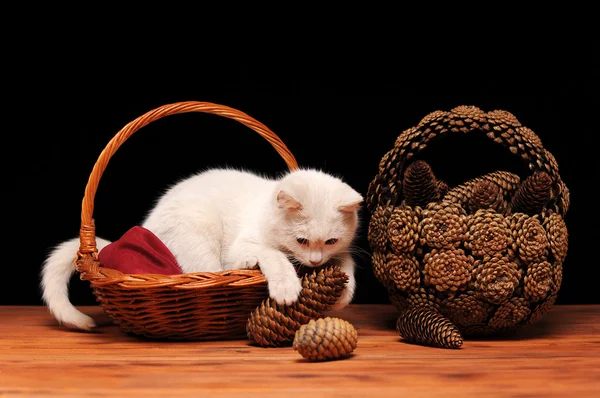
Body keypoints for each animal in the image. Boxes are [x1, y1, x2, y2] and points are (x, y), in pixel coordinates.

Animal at [42, 167, 364, 330]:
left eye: (330, 241)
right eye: (301, 240)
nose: (315, 262)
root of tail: (146, 229)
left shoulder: (339, 251)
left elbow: (347, 261)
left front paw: (342, 295)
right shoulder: (244, 243)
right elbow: (273, 254)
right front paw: (286, 286)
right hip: (200, 229)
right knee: (217, 269)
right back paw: (247, 264)